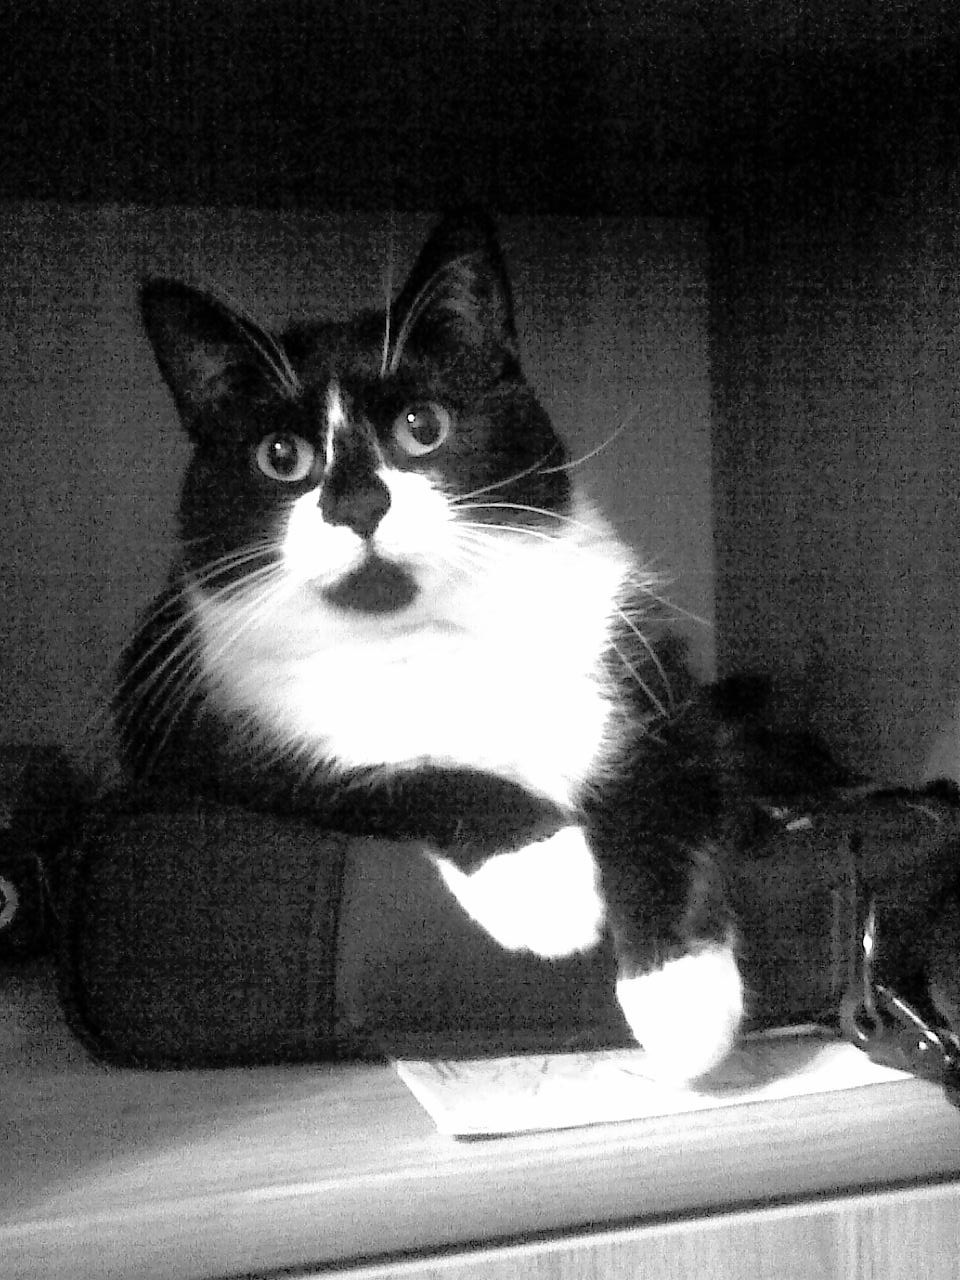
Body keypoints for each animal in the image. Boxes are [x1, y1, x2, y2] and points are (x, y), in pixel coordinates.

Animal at [116, 209, 743, 1082]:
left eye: (423, 428)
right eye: (280, 456)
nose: (356, 502)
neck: (430, 637)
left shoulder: (635, 662)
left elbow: (665, 785)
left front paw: (682, 995)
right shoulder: (234, 738)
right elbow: (410, 776)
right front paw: (545, 879)